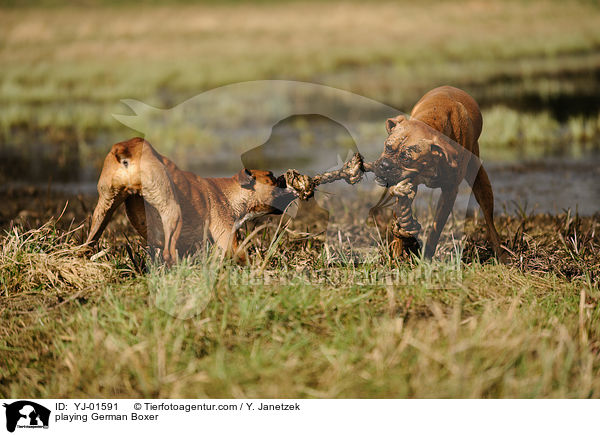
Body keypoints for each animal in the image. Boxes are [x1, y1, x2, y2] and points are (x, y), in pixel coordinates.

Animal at [85, 138, 298, 264]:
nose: (284, 177)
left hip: (103, 210)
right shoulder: (229, 238)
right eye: (271, 177)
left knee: (90, 239)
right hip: (171, 211)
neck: (230, 192)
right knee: (168, 252)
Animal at [372, 87, 504, 260]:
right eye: (387, 146)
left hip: (481, 182)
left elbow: (436, 230)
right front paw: (396, 252)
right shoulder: (408, 186)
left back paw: (501, 255)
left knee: (490, 221)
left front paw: (426, 258)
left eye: (407, 158)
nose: (385, 165)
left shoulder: (449, 192)